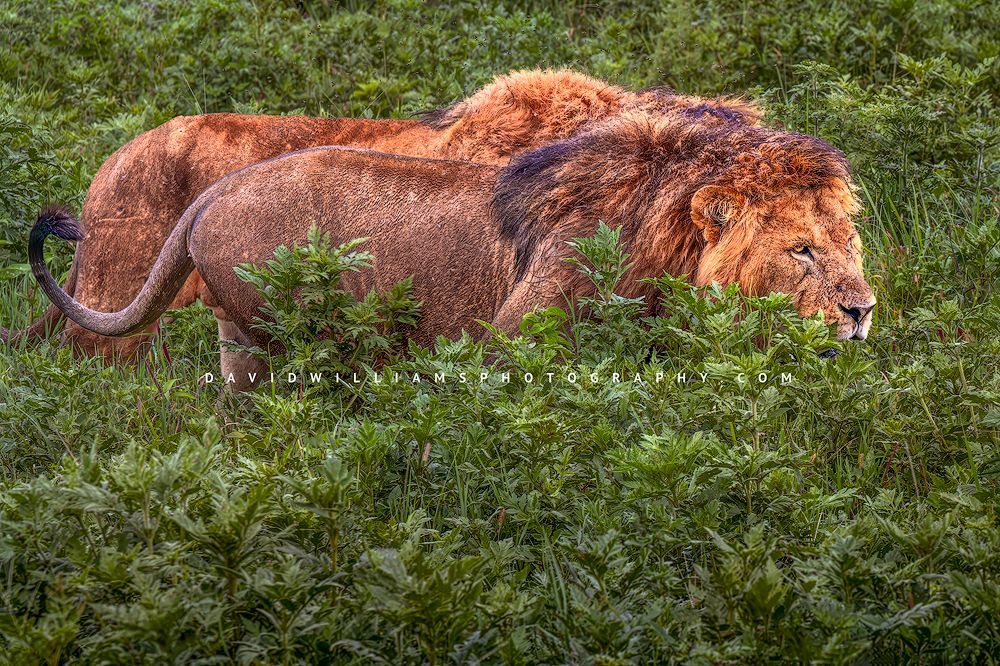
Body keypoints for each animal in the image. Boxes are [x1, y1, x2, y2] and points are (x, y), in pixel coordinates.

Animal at [29, 109, 875, 391]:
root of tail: (216, 192)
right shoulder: (516, 341)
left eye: (849, 244)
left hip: (240, 342)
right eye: (801, 250)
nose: (862, 311)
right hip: (282, 338)